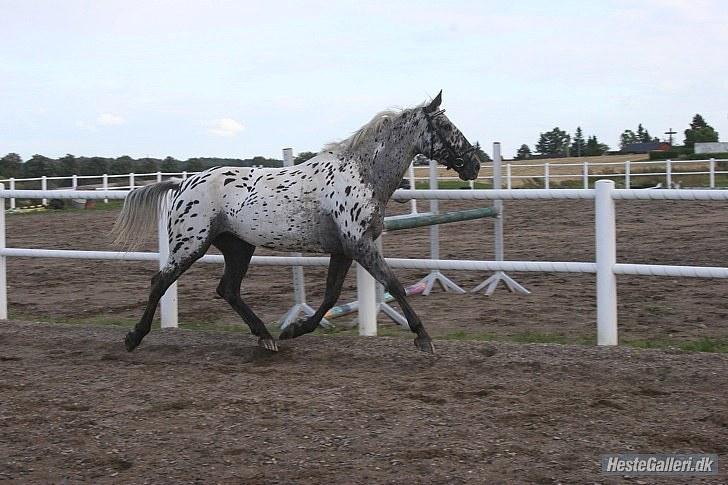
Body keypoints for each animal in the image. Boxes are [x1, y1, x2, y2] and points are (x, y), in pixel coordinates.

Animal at [111, 91, 480, 352]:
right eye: (446, 127)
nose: (475, 164)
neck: (362, 174)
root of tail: (182, 184)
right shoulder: (358, 244)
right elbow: (393, 284)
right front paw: (423, 337)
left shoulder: (343, 249)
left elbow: (331, 296)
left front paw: (293, 330)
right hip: (190, 244)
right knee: (160, 281)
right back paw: (133, 338)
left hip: (238, 247)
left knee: (228, 289)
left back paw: (266, 337)